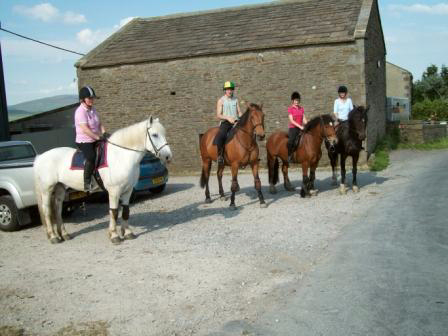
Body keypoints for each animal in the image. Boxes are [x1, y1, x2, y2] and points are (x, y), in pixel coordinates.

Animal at [34, 117, 172, 245]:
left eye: (164, 133)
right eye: (155, 134)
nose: (168, 156)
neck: (121, 156)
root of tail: (40, 157)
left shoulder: (127, 190)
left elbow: (126, 211)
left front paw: (127, 233)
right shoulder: (114, 191)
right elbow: (114, 212)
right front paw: (114, 236)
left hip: (60, 188)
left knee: (57, 209)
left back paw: (64, 234)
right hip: (47, 189)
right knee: (47, 210)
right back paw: (54, 237)